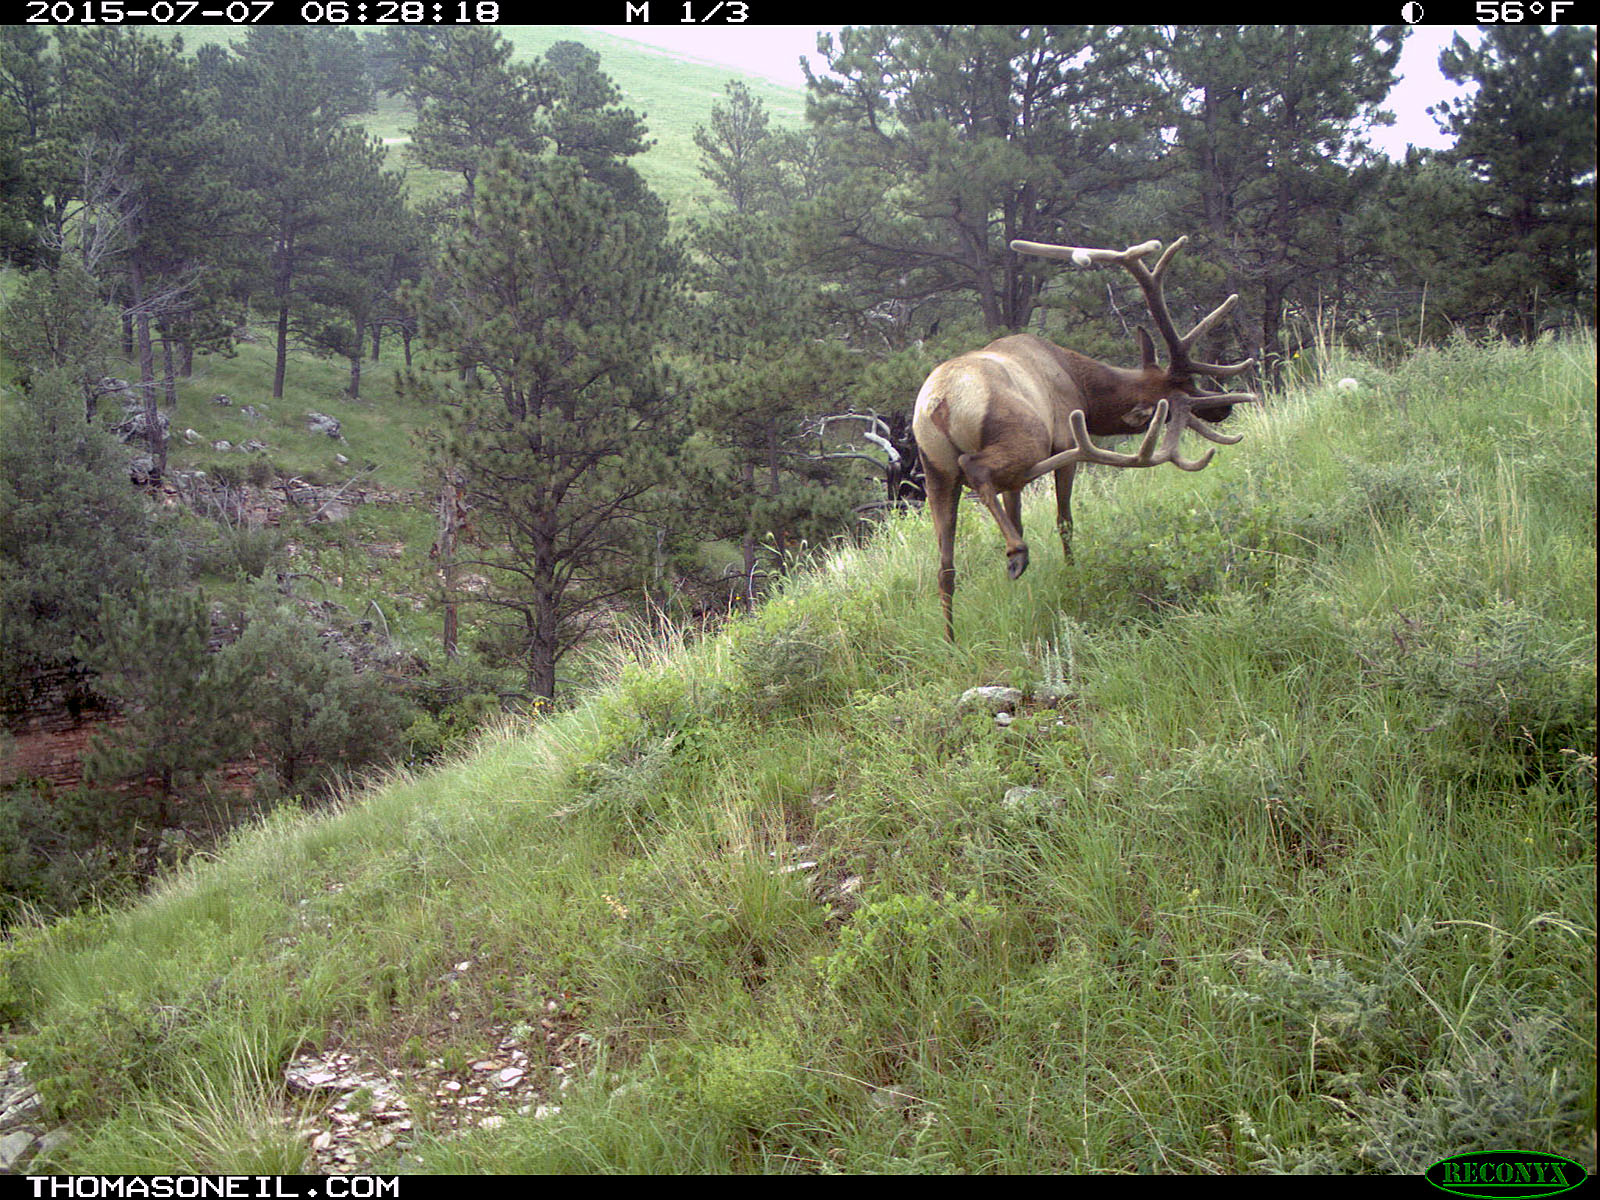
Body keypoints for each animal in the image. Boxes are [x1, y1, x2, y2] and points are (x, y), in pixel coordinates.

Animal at [911, 236, 1259, 642]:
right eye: (1180, 394)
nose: (1223, 408)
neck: (1080, 384)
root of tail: (940, 403)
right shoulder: (1065, 444)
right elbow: (1065, 521)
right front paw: (1072, 574)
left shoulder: (1013, 481)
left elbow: (1017, 514)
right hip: (1022, 441)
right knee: (976, 468)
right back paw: (1016, 554)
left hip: (936, 472)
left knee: (945, 563)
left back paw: (951, 638)